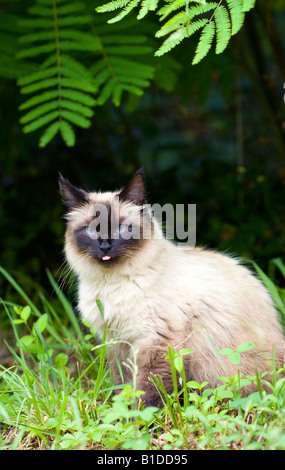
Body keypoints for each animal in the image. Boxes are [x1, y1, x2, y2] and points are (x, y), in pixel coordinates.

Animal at [58, 170, 282, 408]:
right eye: (90, 231)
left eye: (121, 229)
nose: (105, 246)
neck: (111, 284)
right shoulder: (117, 343)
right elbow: (123, 385)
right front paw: (122, 409)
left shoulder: (154, 340)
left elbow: (147, 391)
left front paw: (140, 416)